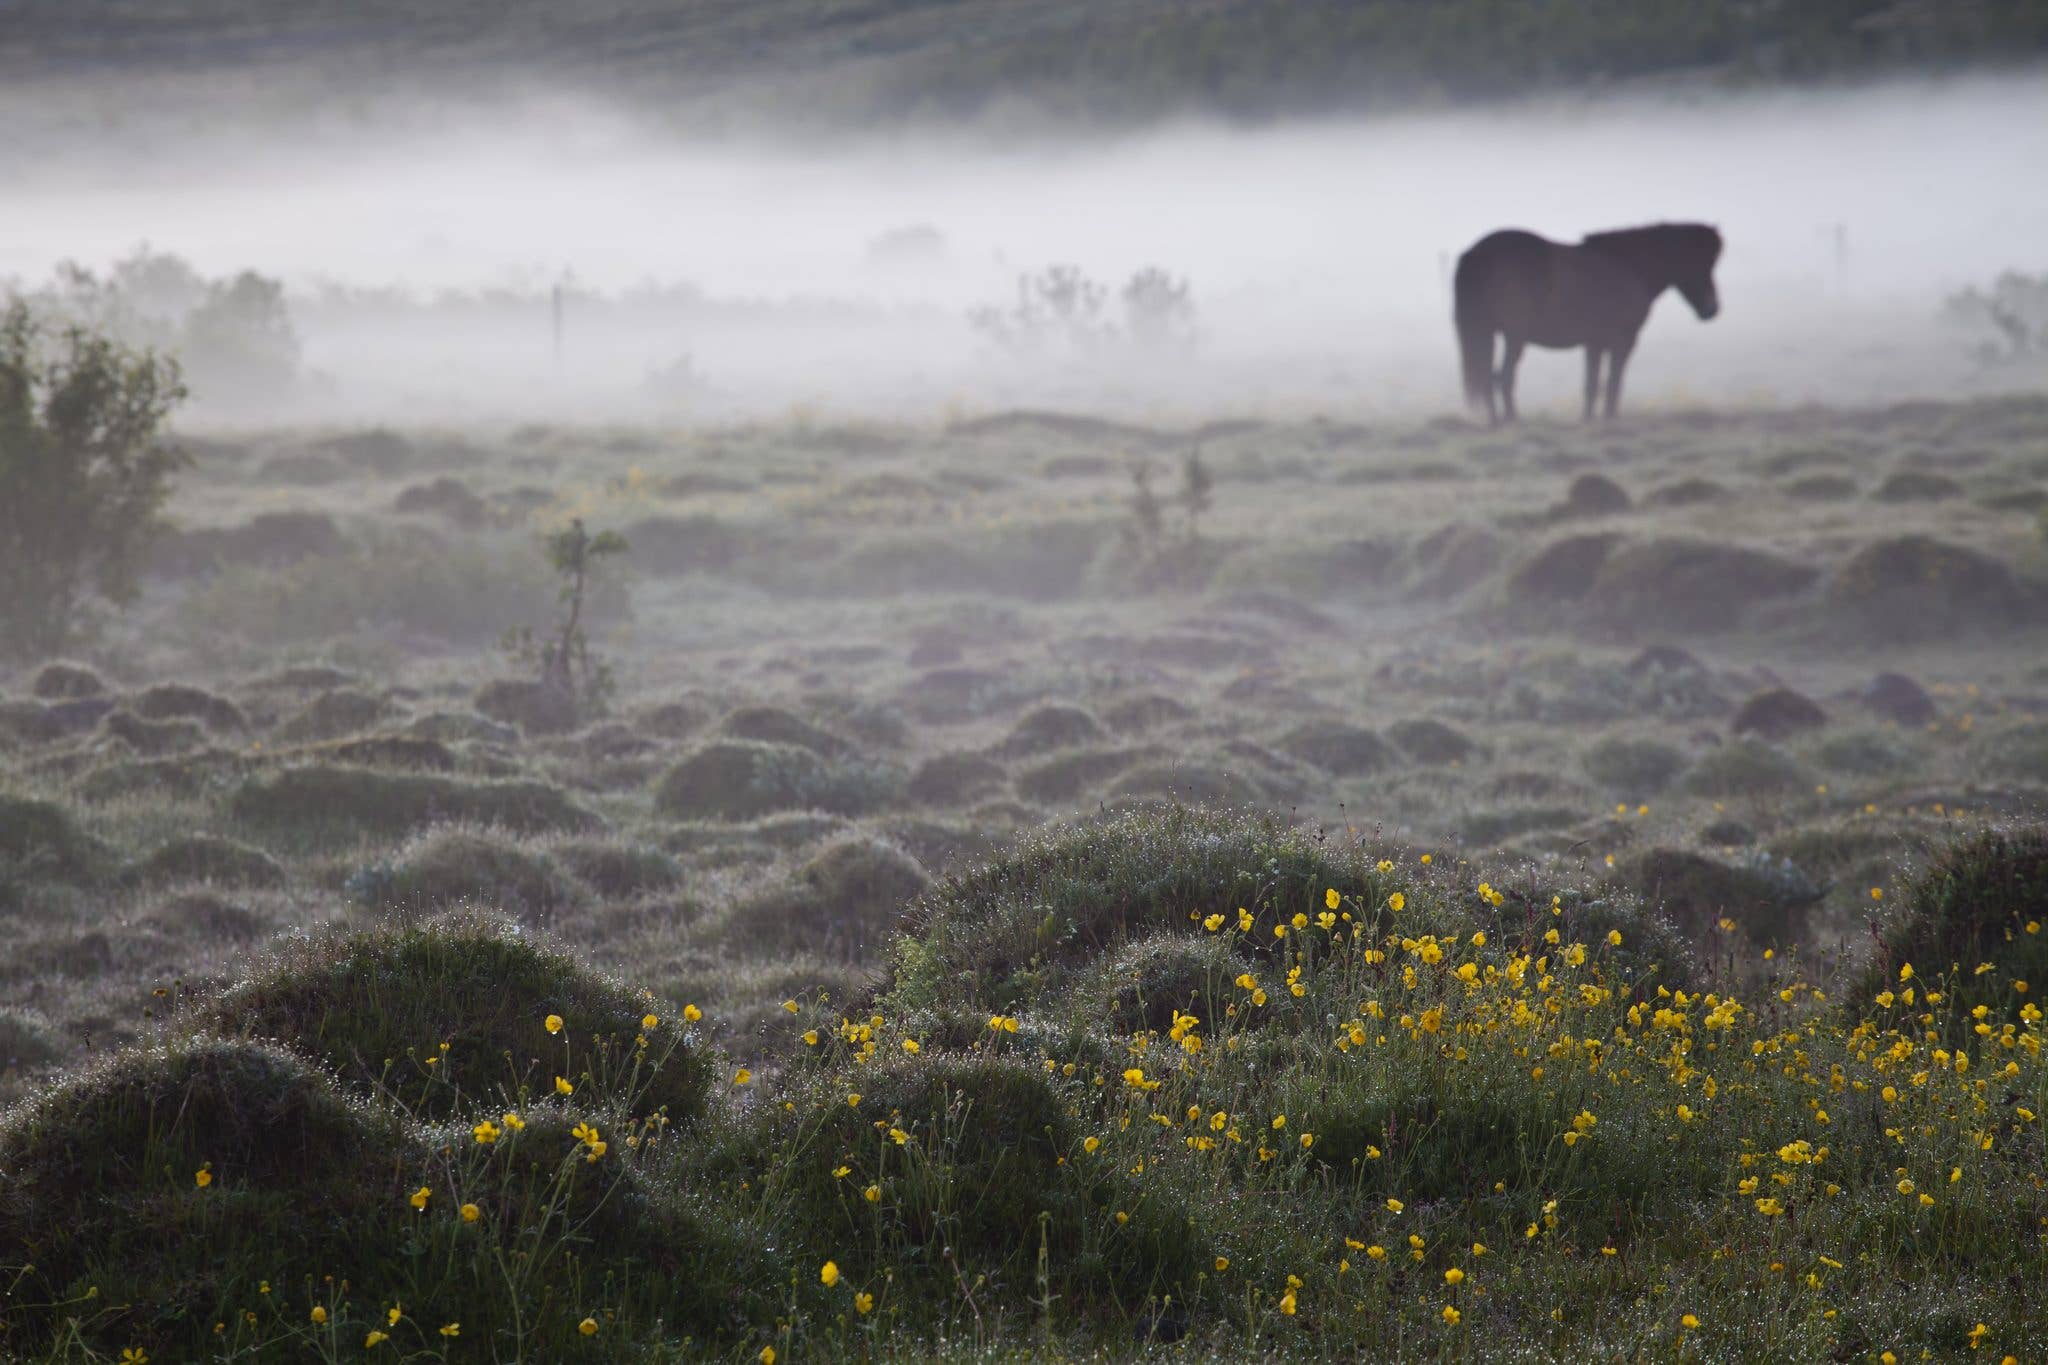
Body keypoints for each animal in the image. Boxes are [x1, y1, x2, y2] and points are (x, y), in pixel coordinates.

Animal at [1453, 223, 1722, 425]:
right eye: (1700, 261)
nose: (1712, 309)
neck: (1629, 267)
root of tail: (1477, 253)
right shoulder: (1624, 340)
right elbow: (1613, 381)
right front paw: (1610, 419)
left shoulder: (1595, 343)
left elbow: (1592, 384)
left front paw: (1588, 419)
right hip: (1513, 336)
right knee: (1503, 376)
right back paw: (1511, 420)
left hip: (1489, 333)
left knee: (1489, 376)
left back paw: (1496, 421)